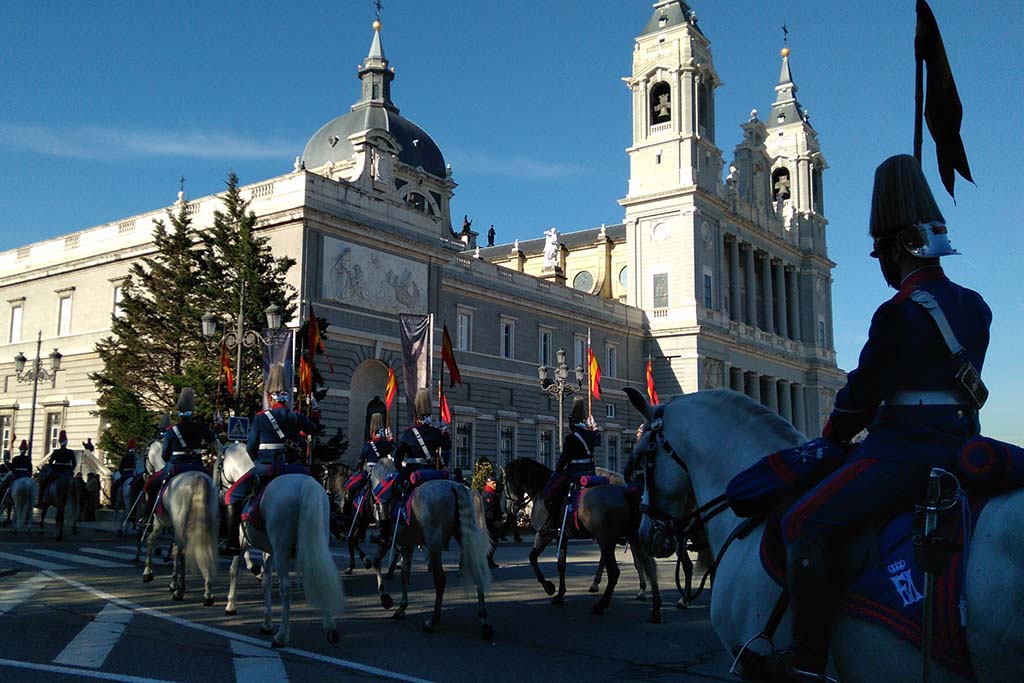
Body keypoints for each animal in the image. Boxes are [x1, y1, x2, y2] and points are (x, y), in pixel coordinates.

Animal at [142, 473, 218, 606]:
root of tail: (198, 477)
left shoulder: (160, 523)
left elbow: (150, 541)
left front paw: (148, 573)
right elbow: (174, 551)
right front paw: (174, 583)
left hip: (179, 525)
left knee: (182, 553)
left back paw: (180, 591)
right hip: (207, 525)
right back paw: (208, 593)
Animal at [220, 444, 344, 647]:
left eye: (220, 466)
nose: (222, 490)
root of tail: (305, 485)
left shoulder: (242, 541)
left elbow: (234, 569)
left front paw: (231, 605)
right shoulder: (269, 552)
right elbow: (266, 582)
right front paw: (266, 622)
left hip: (282, 550)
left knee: (285, 588)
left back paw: (282, 635)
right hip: (314, 545)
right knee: (319, 576)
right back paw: (330, 628)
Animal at [368, 458, 495, 643]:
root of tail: (456, 487)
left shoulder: (390, 541)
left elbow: (377, 561)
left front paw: (386, 599)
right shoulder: (408, 545)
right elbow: (404, 574)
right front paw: (401, 608)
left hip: (434, 544)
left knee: (440, 579)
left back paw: (433, 622)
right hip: (465, 537)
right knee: (477, 572)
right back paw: (484, 622)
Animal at [503, 456, 663, 622]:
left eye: (505, 482)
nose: (511, 509)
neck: (541, 488)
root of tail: (625, 493)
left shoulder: (544, 534)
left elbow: (533, 558)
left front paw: (549, 587)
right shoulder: (562, 537)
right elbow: (561, 565)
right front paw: (560, 594)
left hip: (606, 540)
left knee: (615, 572)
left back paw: (601, 604)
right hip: (632, 537)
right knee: (649, 567)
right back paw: (655, 608)